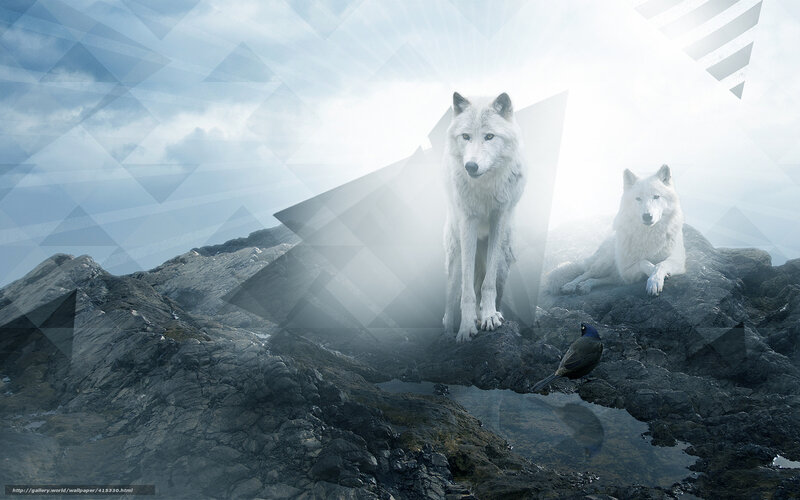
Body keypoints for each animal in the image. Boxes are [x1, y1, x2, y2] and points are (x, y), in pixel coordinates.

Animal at [442, 92, 527, 342]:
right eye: (466, 136)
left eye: (489, 136)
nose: (471, 166)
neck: (485, 186)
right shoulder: (468, 223)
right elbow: (467, 293)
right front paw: (465, 328)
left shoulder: (499, 219)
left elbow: (487, 286)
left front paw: (489, 317)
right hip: (455, 255)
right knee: (451, 298)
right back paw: (449, 329)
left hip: (505, 260)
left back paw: (490, 315)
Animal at [547, 165, 685, 297]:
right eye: (638, 198)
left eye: (656, 197)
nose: (647, 216)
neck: (649, 234)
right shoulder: (626, 270)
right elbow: (644, 262)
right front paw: (653, 274)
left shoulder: (678, 261)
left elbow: (661, 264)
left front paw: (655, 280)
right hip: (603, 263)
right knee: (586, 273)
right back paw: (570, 285)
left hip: (615, 277)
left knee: (603, 279)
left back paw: (585, 286)